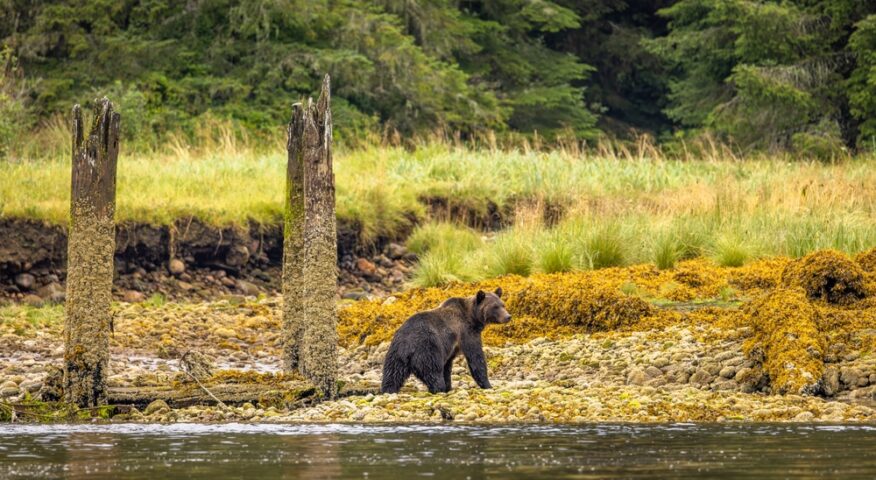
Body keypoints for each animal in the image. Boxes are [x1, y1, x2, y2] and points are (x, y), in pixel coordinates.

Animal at [380, 287, 511, 394]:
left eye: (503, 304)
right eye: (495, 307)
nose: (508, 316)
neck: (472, 317)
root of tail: (407, 345)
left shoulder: (450, 348)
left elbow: (447, 366)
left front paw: (449, 386)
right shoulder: (466, 332)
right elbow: (476, 357)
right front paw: (488, 384)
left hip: (395, 354)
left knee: (392, 374)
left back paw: (388, 390)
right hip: (427, 347)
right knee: (433, 371)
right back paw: (439, 388)